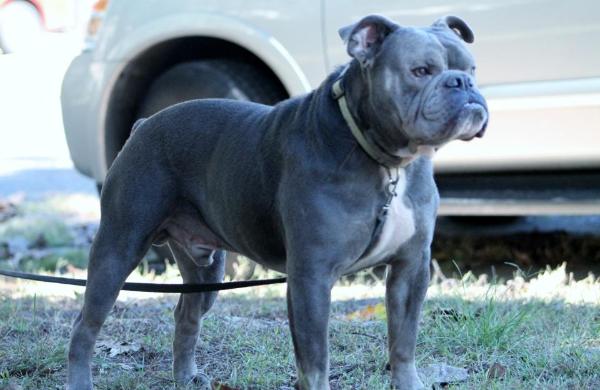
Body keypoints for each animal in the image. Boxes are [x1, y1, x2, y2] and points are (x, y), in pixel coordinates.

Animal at [67, 13, 488, 388]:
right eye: (420, 71)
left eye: (472, 67)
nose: (463, 82)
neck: (388, 162)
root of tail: (143, 126)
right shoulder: (311, 279)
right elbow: (315, 362)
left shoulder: (409, 269)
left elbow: (403, 343)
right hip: (118, 247)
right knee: (86, 322)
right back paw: (80, 380)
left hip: (206, 274)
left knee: (187, 314)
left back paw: (185, 377)